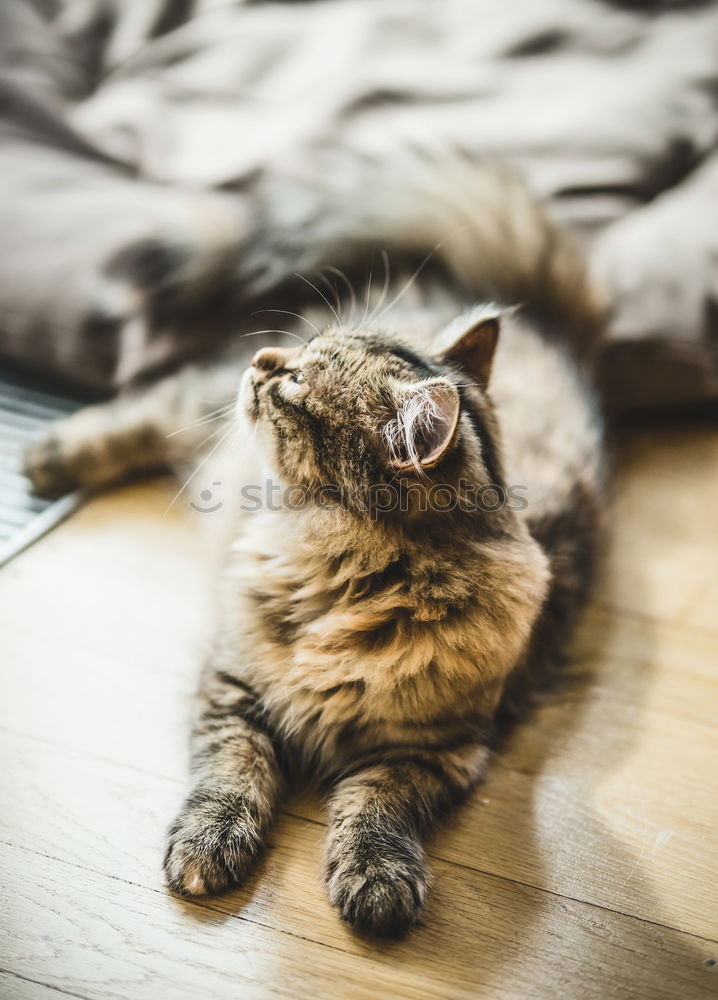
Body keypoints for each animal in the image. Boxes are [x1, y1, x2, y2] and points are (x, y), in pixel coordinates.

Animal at [25, 160, 604, 932]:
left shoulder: (433, 748)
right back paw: (51, 457)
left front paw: (377, 880)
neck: (346, 582)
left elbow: (378, 808)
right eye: (297, 357)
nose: (264, 356)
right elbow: (232, 773)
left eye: (298, 379)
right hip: (201, 410)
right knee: (148, 408)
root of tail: (544, 322)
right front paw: (208, 846)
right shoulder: (234, 686)